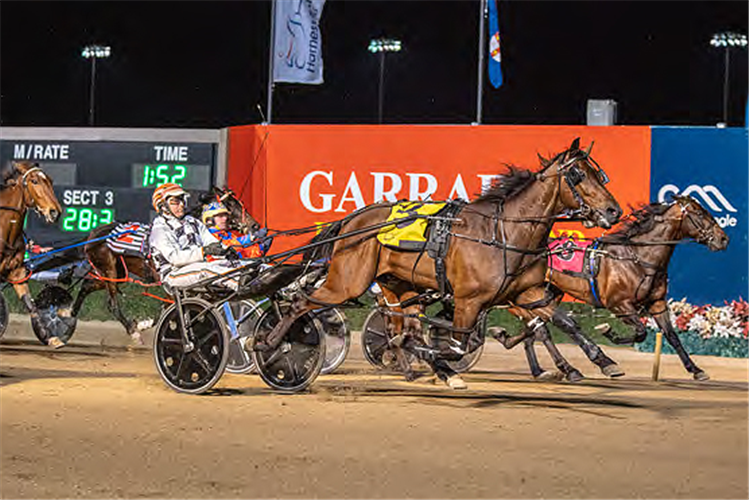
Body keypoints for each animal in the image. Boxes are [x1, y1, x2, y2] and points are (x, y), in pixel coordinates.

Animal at [0, 162, 62, 346]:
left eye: (50, 180)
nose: (55, 212)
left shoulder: (16, 273)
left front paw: (50, 337)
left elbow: (31, 305)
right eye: (34, 181)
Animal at [260, 138, 624, 390]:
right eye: (578, 174)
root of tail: (352, 219)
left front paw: (602, 361)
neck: (504, 233)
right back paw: (270, 343)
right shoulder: (469, 300)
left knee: (401, 328)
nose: (613, 211)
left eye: (599, 174)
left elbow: (564, 322)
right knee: (300, 303)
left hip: (399, 286)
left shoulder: (526, 294)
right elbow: (459, 345)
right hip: (347, 281)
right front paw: (443, 364)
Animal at [494, 195, 728, 378]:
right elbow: (641, 332)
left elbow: (671, 336)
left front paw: (696, 369)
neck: (639, 258)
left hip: (547, 294)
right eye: (699, 213)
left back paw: (527, 357)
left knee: (535, 328)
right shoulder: (619, 304)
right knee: (540, 330)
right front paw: (608, 332)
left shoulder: (657, 303)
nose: (723, 239)